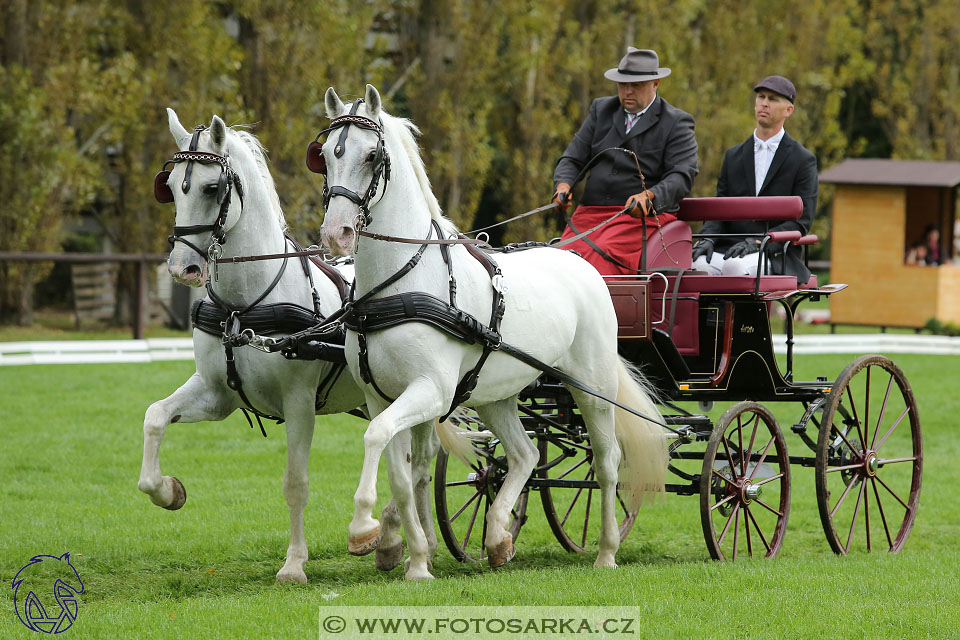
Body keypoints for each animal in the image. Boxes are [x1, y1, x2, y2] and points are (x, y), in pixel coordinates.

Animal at [139, 107, 438, 584]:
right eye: (168, 188)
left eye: (211, 187)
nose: (182, 267)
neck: (244, 307)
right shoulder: (215, 393)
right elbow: (155, 417)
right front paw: (168, 490)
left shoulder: (299, 404)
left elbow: (295, 482)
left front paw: (295, 563)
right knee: (415, 461)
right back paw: (405, 543)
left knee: (424, 462)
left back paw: (403, 537)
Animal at [316, 85, 668, 580]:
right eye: (326, 154)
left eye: (371, 156)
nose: (337, 233)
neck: (401, 283)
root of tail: (580, 262)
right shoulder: (381, 396)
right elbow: (402, 471)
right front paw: (414, 556)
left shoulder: (431, 391)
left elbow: (378, 441)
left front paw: (365, 527)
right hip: (496, 395)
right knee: (525, 455)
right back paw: (499, 535)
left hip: (593, 389)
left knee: (606, 462)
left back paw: (606, 551)